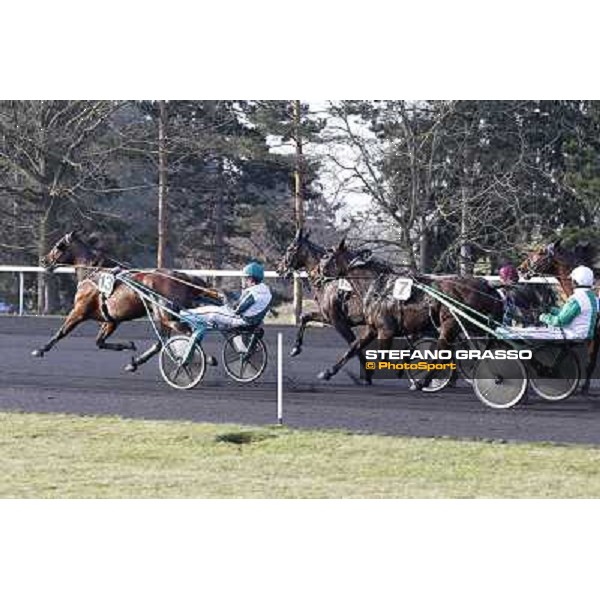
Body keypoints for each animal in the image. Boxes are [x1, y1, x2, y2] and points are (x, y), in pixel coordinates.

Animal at [34, 232, 223, 372]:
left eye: (58, 245)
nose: (44, 260)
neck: (93, 274)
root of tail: (182, 277)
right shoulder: (112, 319)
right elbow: (99, 342)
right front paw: (127, 346)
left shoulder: (79, 311)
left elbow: (61, 332)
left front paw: (41, 349)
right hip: (164, 317)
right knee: (162, 343)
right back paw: (135, 363)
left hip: (167, 316)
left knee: (189, 333)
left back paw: (203, 358)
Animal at [276, 230, 376, 384]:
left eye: (289, 248)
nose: (279, 268)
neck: (327, 283)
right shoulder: (327, 317)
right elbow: (305, 317)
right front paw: (296, 348)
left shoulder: (338, 321)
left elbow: (354, 344)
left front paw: (366, 374)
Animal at [316, 241, 504, 386]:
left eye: (326, 256)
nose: (316, 274)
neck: (377, 287)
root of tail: (488, 285)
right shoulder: (372, 328)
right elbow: (353, 348)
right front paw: (329, 372)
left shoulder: (386, 330)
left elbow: (382, 358)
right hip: (475, 327)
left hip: (451, 324)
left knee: (443, 352)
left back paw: (422, 383)